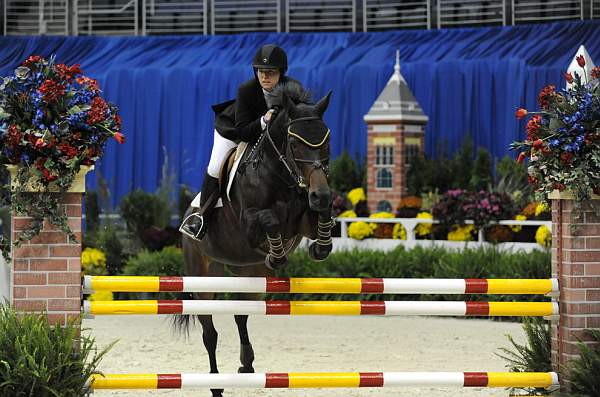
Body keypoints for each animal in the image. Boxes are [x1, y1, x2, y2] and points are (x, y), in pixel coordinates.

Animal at [178, 85, 338, 394]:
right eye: (294, 143)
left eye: (326, 141)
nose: (321, 194)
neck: (280, 173)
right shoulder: (249, 224)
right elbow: (269, 220)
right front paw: (277, 255)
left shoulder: (304, 219)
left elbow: (320, 218)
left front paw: (321, 246)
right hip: (203, 277)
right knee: (209, 333)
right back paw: (215, 384)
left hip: (249, 274)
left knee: (241, 315)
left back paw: (247, 364)